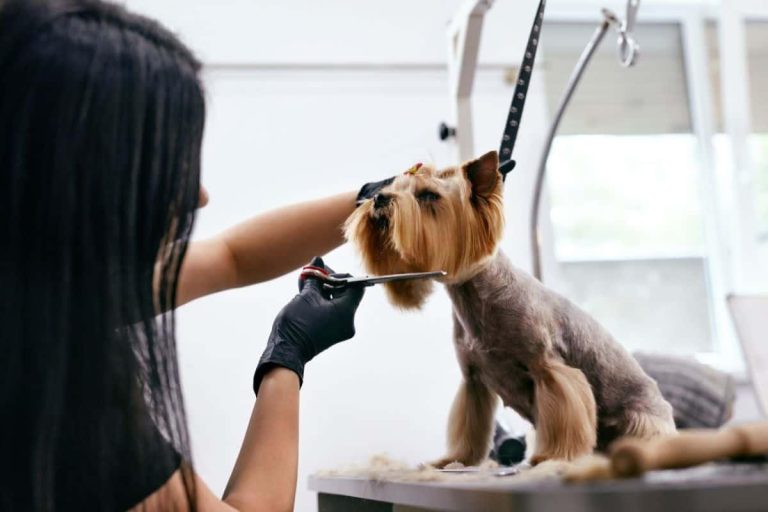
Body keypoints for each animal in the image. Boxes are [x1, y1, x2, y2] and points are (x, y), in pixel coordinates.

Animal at [344, 150, 676, 466]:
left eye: (428, 195)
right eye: (392, 187)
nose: (378, 198)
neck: (476, 297)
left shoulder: (548, 368)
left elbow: (563, 410)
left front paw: (552, 456)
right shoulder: (473, 381)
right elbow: (468, 425)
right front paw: (454, 459)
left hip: (641, 421)